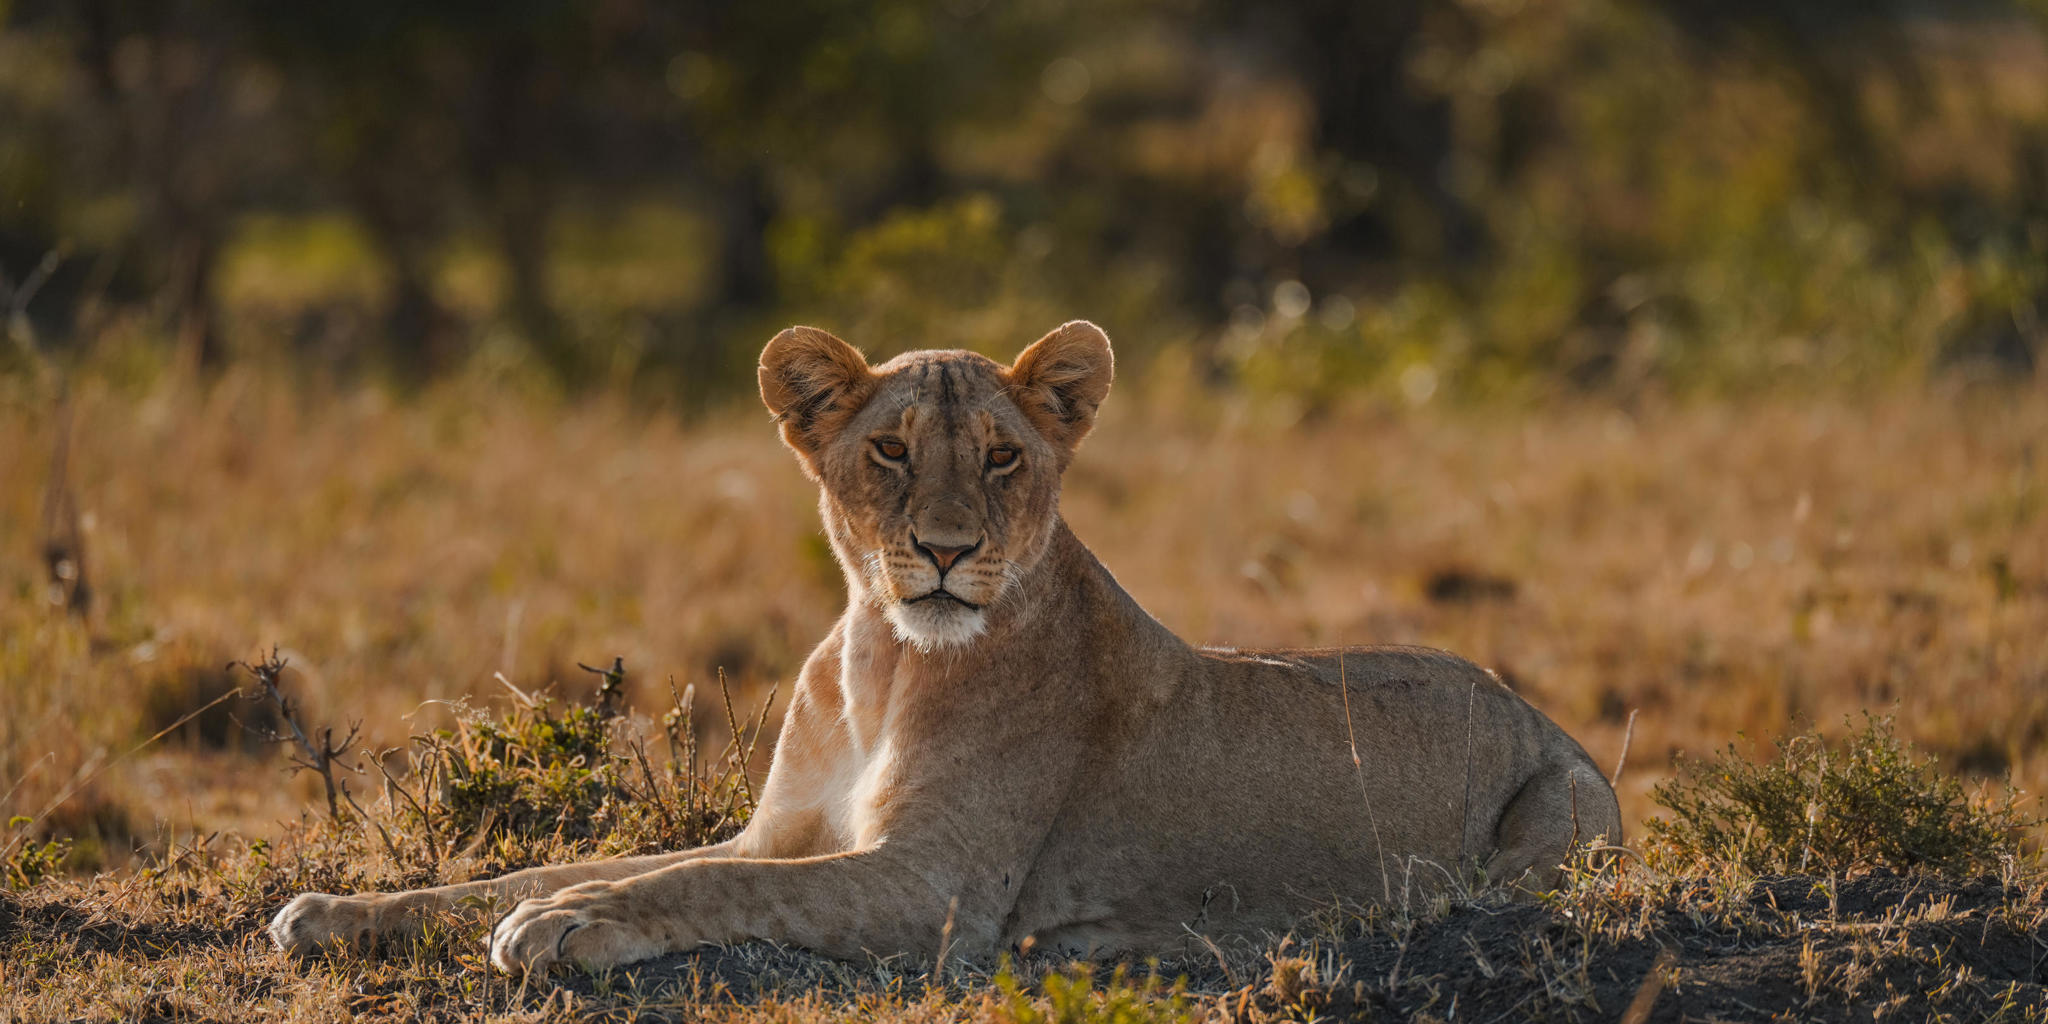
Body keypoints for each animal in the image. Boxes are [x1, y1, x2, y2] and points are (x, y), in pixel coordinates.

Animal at [269, 320, 1621, 974]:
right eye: (889, 449)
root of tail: (1531, 706)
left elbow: (690, 886)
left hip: (1557, 816)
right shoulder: (779, 834)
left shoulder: (935, 888)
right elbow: (529, 872)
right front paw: (339, 913)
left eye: (1003, 457)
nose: (942, 549)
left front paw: (571, 927)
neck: (885, 660)